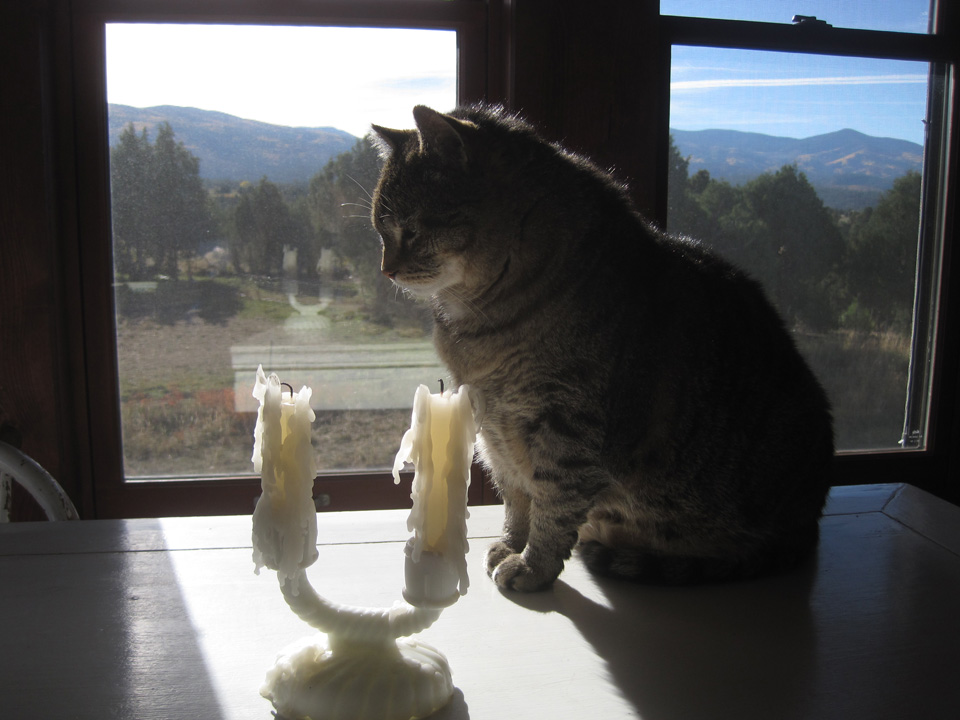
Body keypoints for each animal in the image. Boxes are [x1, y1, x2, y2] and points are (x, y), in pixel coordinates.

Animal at [371, 105, 834, 592]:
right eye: (379, 231)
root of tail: (808, 525)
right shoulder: (493, 426)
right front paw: (512, 543)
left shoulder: (567, 426)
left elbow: (552, 504)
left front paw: (533, 565)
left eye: (409, 231)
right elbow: (515, 495)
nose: (385, 270)